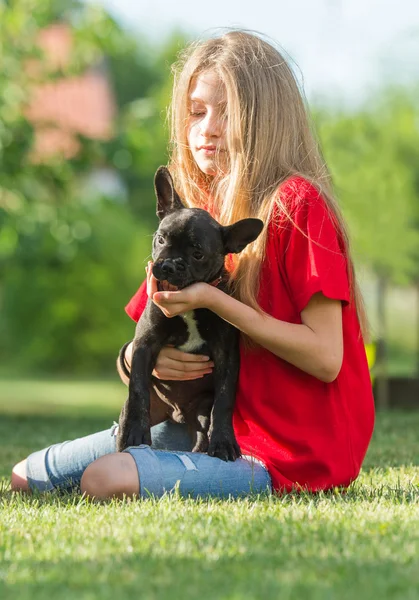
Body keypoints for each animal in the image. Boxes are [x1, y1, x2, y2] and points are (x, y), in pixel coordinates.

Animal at [116, 166, 264, 462]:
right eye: (160, 239)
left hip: (200, 412)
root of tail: (177, 414)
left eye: (197, 253)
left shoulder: (226, 355)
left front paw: (224, 442)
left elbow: (224, 401)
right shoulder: (144, 345)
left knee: (202, 429)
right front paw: (137, 434)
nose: (169, 265)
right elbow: (137, 389)